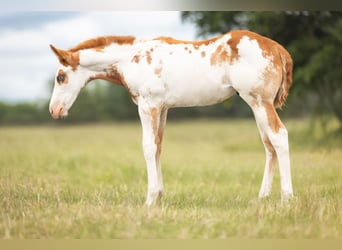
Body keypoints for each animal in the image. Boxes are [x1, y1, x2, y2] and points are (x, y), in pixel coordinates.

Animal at [48, 29, 294, 205]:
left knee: (279, 136)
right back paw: (262, 198)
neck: (132, 58)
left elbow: (148, 147)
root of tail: (277, 48)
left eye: (60, 77)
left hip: (260, 103)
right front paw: (159, 195)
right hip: (257, 106)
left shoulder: (148, 106)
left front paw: (149, 200)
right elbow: (158, 147)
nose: (54, 110)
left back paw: (287, 198)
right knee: (268, 145)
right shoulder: (163, 108)